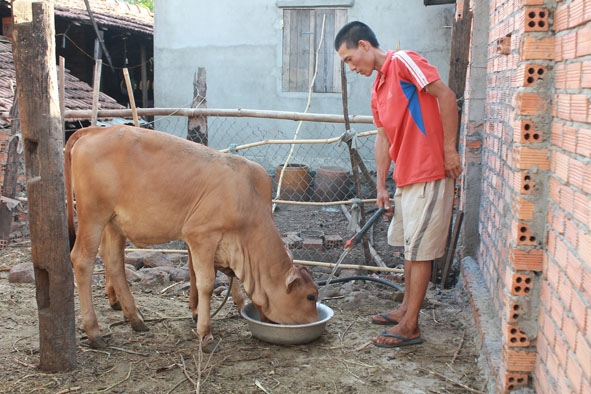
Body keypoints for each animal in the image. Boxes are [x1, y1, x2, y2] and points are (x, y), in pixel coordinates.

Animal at [65, 124, 320, 350]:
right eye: (310, 297)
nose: (316, 323)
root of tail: (95, 131)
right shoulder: (202, 235)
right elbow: (206, 282)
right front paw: (205, 333)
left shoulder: (198, 241)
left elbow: (197, 274)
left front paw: (200, 311)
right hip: (93, 215)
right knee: (82, 260)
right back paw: (94, 332)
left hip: (114, 222)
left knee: (113, 260)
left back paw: (135, 318)